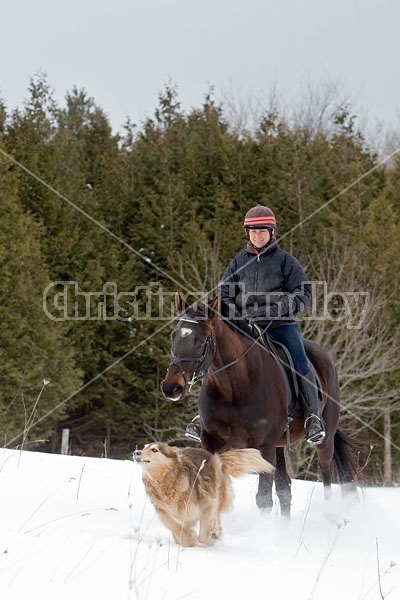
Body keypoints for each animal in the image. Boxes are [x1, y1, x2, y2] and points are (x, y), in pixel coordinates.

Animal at [133, 440, 274, 548]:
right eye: (144, 447)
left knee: (216, 516)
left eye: (154, 450)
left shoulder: (207, 506)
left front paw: (211, 538)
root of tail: (215, 456)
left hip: (216, 495)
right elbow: (176, 527)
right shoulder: (163, 512)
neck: (166, 482)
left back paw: (216, 533)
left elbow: (203, 534)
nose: (136, 452)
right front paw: (188, 539)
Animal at [160, 292, 360, 512]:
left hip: (324, 439)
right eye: (173, 336)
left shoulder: (264, 448)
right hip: (279, 445)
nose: (171, 387)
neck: (233, 390)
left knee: (325, 472)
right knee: (284, 489)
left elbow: (263, 499)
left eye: (201, 340)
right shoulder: (211, 442)